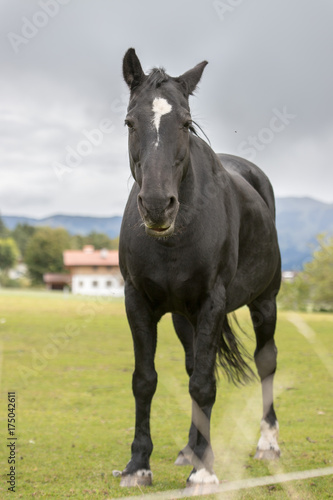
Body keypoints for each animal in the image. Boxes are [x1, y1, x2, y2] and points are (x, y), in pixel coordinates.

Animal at [116, 48, 280, 486]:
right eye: (130, 122)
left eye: (187, 123)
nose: (158, 205)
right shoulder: (137, 302)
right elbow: (145, 381)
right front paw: (138, 465)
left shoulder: (212, 303)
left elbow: (205, 384)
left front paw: (204, 473)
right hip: (182, 317)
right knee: (193, 365)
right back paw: (190, 448)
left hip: (265, 303)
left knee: (266, 361)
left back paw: (267, 444)